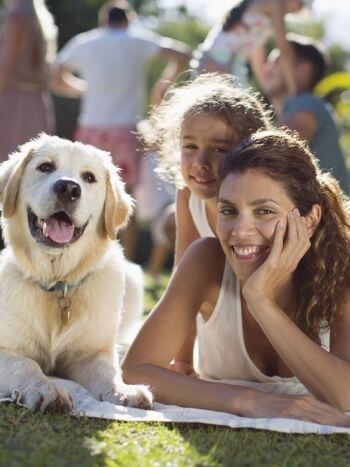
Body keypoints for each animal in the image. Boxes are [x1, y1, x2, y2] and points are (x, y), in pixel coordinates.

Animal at [0, 133, 152, 412]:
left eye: (89, 177)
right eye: (46, 167)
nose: (69, 189)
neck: (57, 283)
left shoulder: (90, 353)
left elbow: (107, 371)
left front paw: (124, 391)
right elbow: (26, 364)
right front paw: (46, 389)